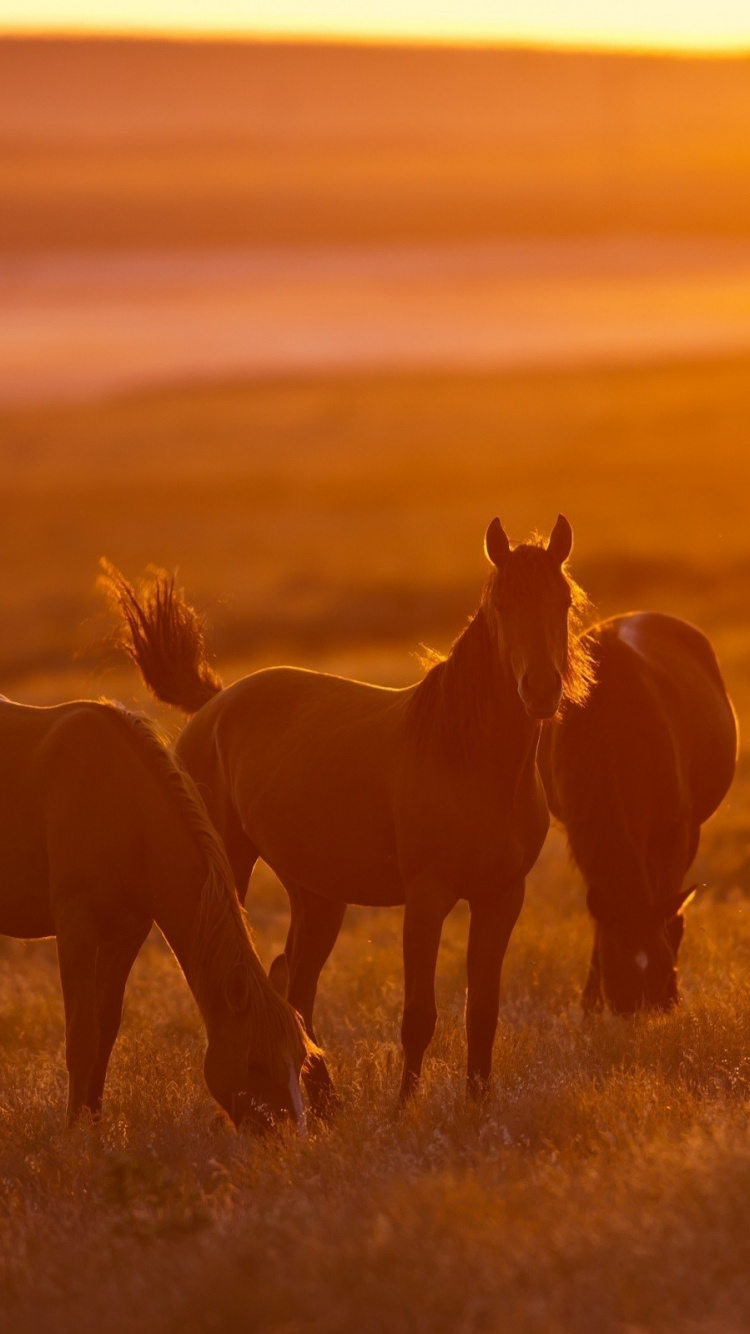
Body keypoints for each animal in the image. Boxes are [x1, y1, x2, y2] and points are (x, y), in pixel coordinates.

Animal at [0, 693, 309, 1131]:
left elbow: (105, 1030)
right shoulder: (76, 926)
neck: (120, 804)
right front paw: (73, 1133)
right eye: (254, 1063)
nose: (290, 1136)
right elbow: (82, 1036)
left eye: (299, 1059)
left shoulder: (127, 932)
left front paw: (94, 1125)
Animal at [102, 514, 589, 1109]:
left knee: (294, 980)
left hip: (317, 895)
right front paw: (403, 1111)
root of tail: (214, 703)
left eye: (563, 601)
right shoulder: (426, 897)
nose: (540, 690)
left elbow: (483, 1012)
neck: (471, 761)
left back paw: (326, 1101)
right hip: (234, 869)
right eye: (501, 604)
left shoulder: (501, 897)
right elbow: (419, 1015)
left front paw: (477, 1108)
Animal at [536, 610, 736, 1008]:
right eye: (614, 972)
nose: (638, 1008)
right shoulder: (580, 831)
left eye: (663, 969)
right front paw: (590, 1001)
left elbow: (668, 899)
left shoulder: (676, 830)